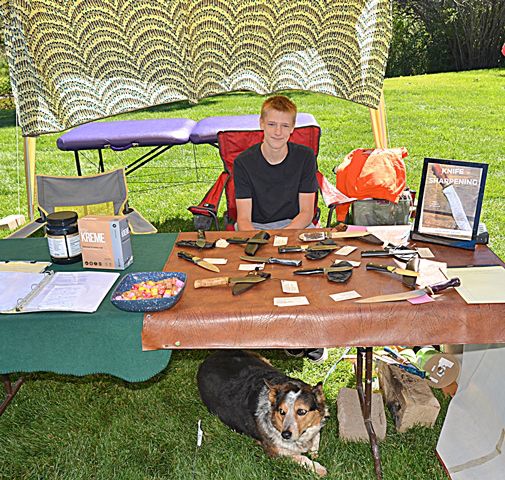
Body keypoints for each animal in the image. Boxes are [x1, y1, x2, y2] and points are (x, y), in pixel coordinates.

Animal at [195, 348, 328, 476]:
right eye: (281, 411)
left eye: (301, 411)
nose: (285, 435)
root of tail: (208, 359)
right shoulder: (276, 452)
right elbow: (301, 458)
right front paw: (318, 468)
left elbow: (317, 436)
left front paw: (314, 451)